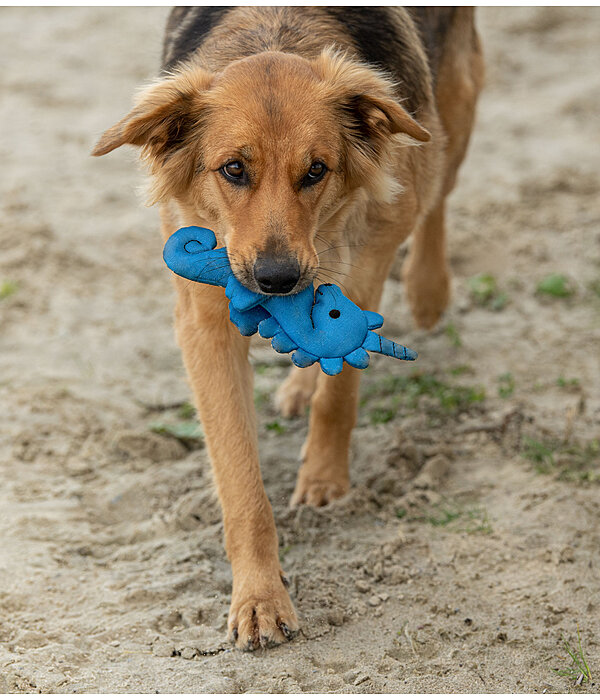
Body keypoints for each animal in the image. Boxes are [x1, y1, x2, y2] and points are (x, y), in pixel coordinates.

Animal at [92, 6, 482, 652]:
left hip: (451, 113)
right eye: (233, 169)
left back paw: (428, 290)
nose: (277, 279)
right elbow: (241, 483)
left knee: (437, 197)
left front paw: (324, 478)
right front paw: (259, 599)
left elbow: (341, 392)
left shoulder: (362, 266)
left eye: (316, 171)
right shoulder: (206, 323)